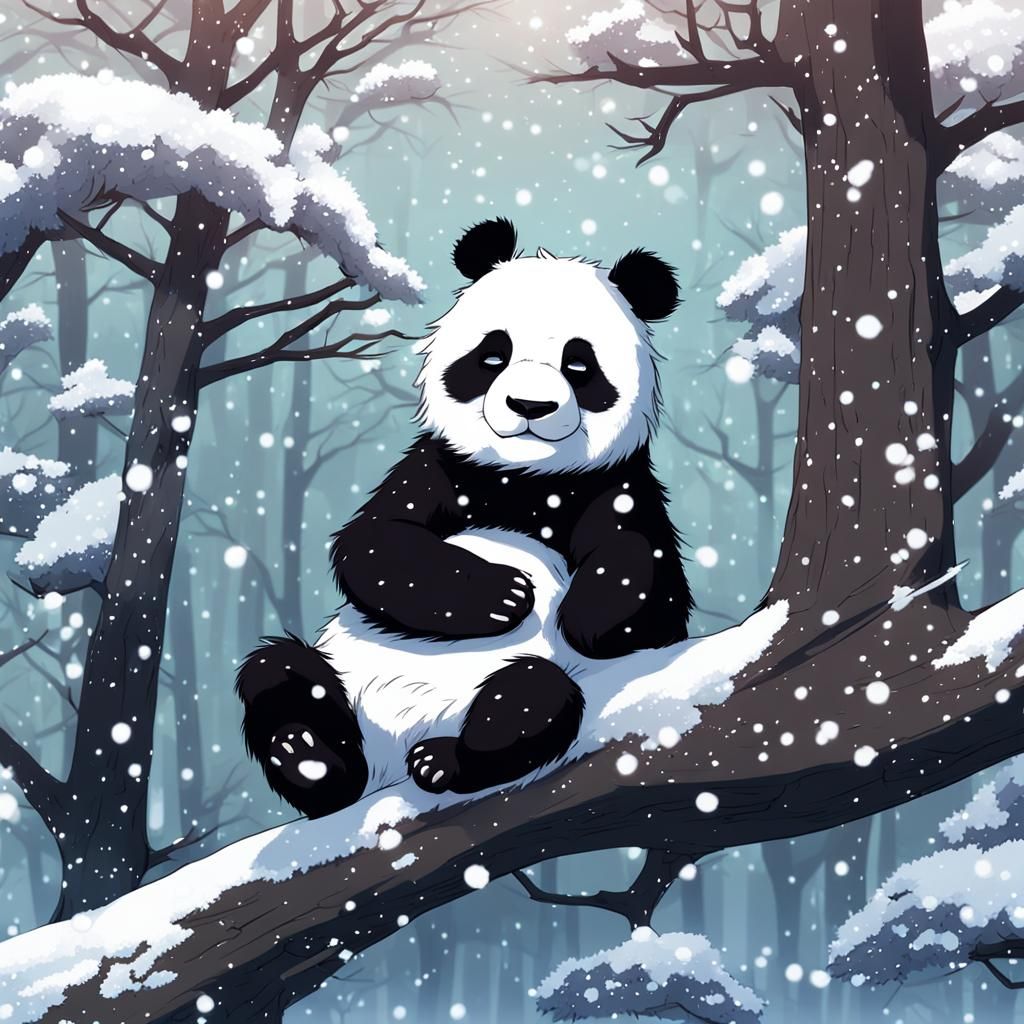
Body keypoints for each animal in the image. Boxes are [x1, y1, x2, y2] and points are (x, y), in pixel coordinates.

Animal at [236, 218, 693, 818]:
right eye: (493, 355)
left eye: (579, 364)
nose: (529, 406)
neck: (525, 481)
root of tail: (390, 760)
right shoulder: (440, 466)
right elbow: (377, 544)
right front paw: (505, 595)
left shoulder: (616, 485)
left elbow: (647, 579)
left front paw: (583, 614)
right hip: (342, 685)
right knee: (279, 673)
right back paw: (307, 756)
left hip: (521, 690)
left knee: (532, 698)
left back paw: (442, 761)